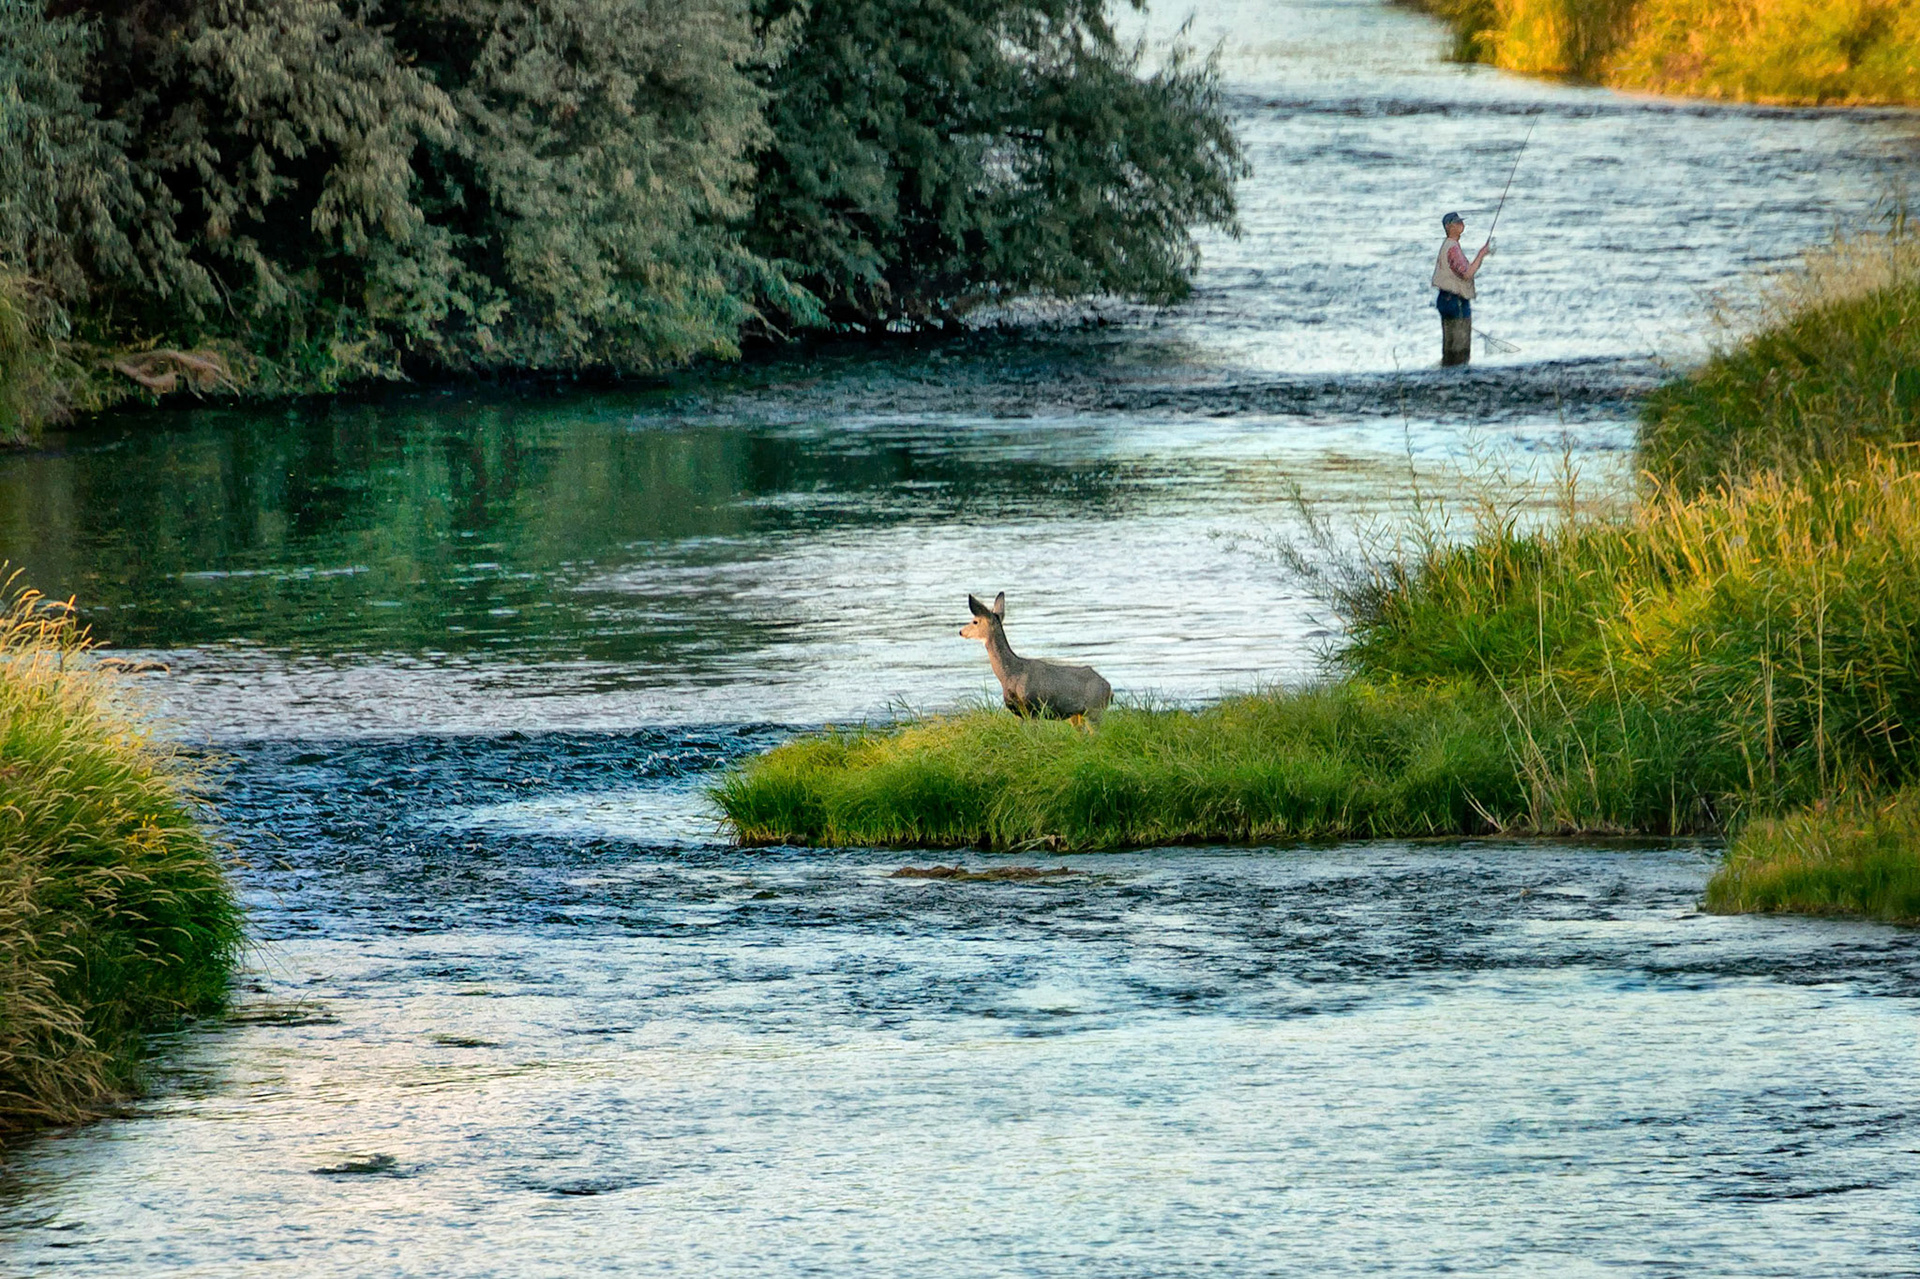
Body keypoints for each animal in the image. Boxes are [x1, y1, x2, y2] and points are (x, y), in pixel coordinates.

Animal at [959, 592, 1112, 726]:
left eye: (975, 621)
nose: (960, 631)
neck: (1010, 674)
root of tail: (1109, 688)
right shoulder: (1019, 713)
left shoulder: (1033, 708)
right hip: (1078, 714)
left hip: (1094, 709)